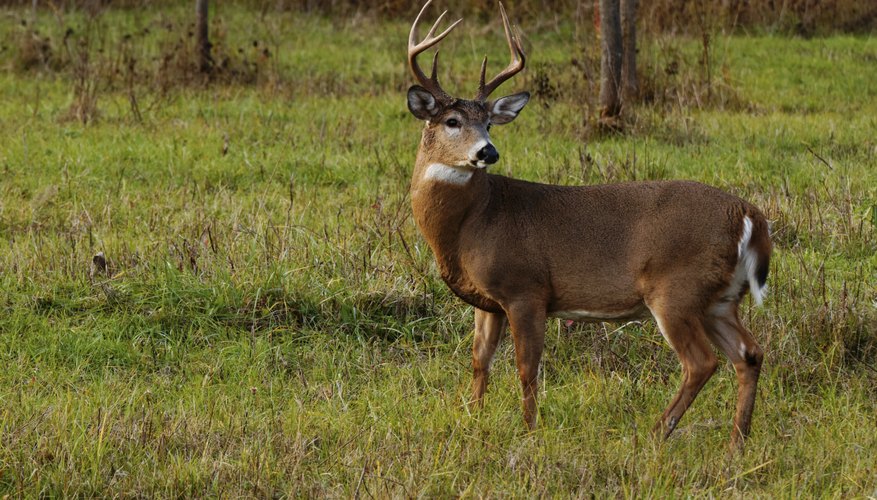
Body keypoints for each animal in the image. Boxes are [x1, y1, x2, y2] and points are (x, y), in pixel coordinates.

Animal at [404, 0, 768, 446]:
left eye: (488, 123)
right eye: (453, 121)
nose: (488, 151)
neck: (471, 224)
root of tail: (748, 215)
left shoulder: (526, 288)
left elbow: (526, 368)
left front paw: (530, 431)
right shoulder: (488, 302)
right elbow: (479, 361)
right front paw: (473, 418)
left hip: (677, 289)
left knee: (702, 362)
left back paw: (656, 434)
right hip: (720, 299)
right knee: (749, 354)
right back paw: (737, 442)